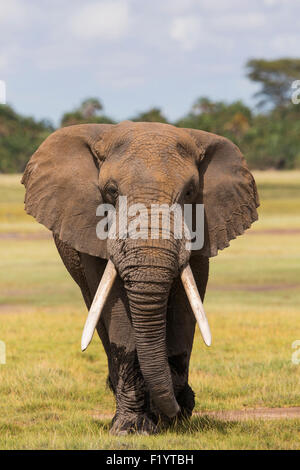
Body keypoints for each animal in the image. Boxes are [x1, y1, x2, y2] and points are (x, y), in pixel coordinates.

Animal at [22, 120, 258, 434]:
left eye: (190, 192)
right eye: (111, 191)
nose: (175, 409)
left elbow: (184, 307)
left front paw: (174, 417)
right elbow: (119, 314)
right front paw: (132, 427)